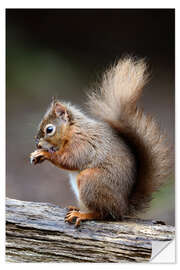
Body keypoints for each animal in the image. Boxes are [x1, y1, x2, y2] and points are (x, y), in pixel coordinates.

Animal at [30, 57, 172, 228]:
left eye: (49, 129)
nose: (37, 144)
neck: (72, 130)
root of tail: (122, 208)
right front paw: (36, 155)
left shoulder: (82, 144)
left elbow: (69, 159)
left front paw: (44, 153)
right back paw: (77, 208)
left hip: (91, 181)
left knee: (104, 214)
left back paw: (83, 214)